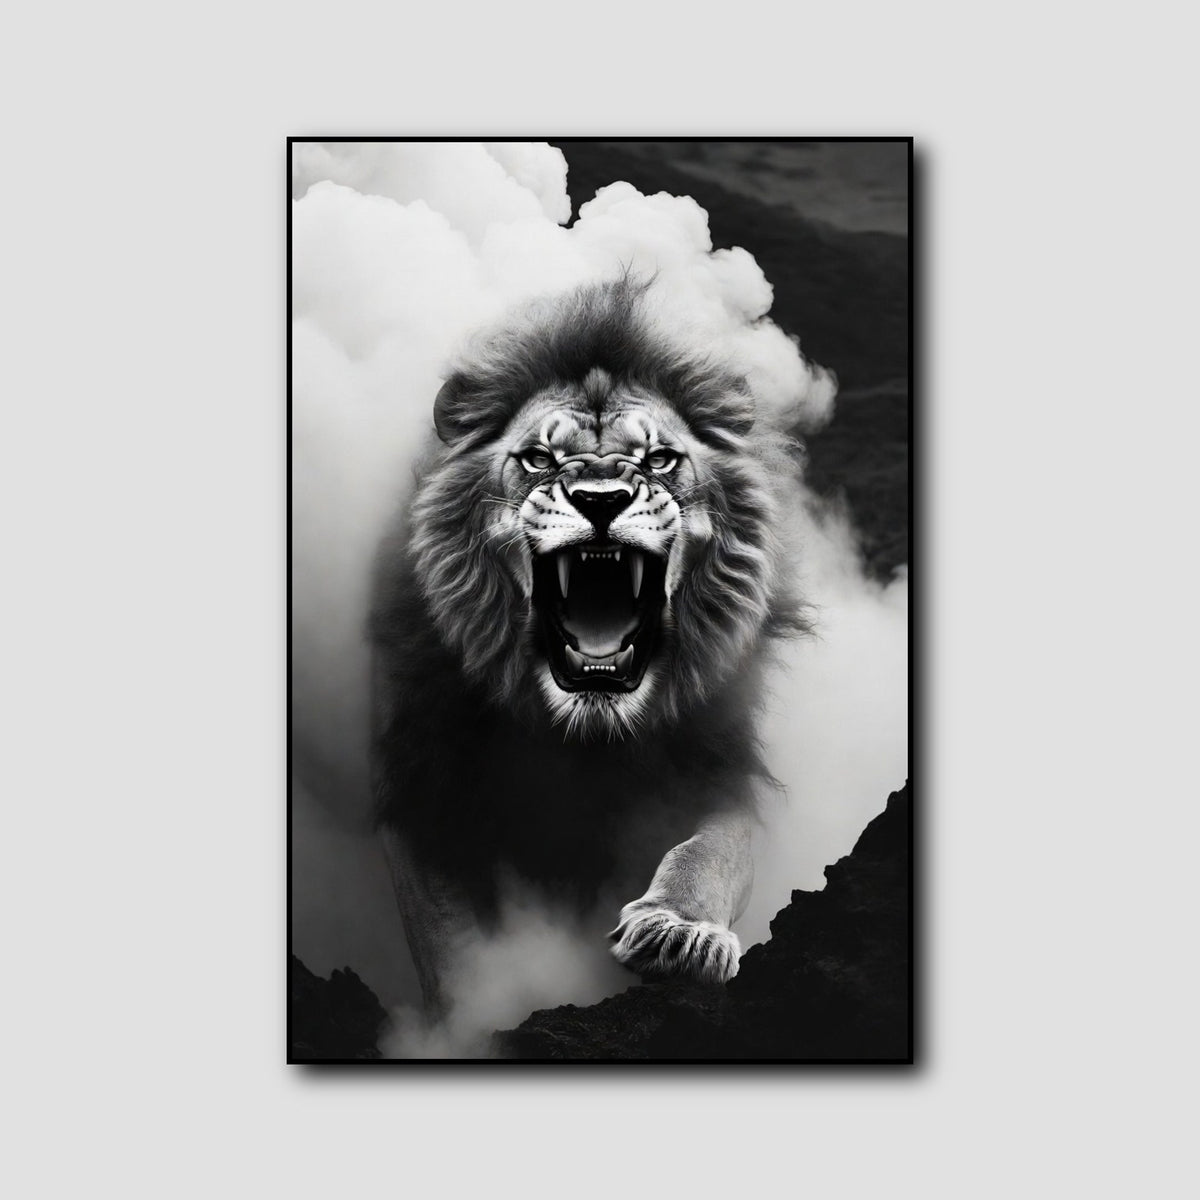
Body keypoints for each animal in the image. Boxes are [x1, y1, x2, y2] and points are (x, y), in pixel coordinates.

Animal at [370, 276, 814, 1015]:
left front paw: (679, 933)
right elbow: (451, 941)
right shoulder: (423, 790)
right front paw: (482, 1010)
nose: (600, 498)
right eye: (538, 458)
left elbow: (709, 854)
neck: (586, 736)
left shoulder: (719, 770)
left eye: (659, 459)